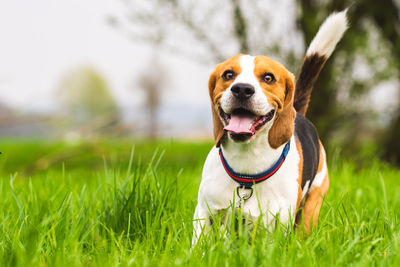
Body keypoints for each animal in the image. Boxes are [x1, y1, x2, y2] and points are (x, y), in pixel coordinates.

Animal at [193, 10, 346, 245]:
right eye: (228, 75)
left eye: (268, 77)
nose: (242, 89)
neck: (247, 170)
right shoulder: (204, 212)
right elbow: (199, 244)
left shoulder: (279, 223)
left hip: (312, 203)